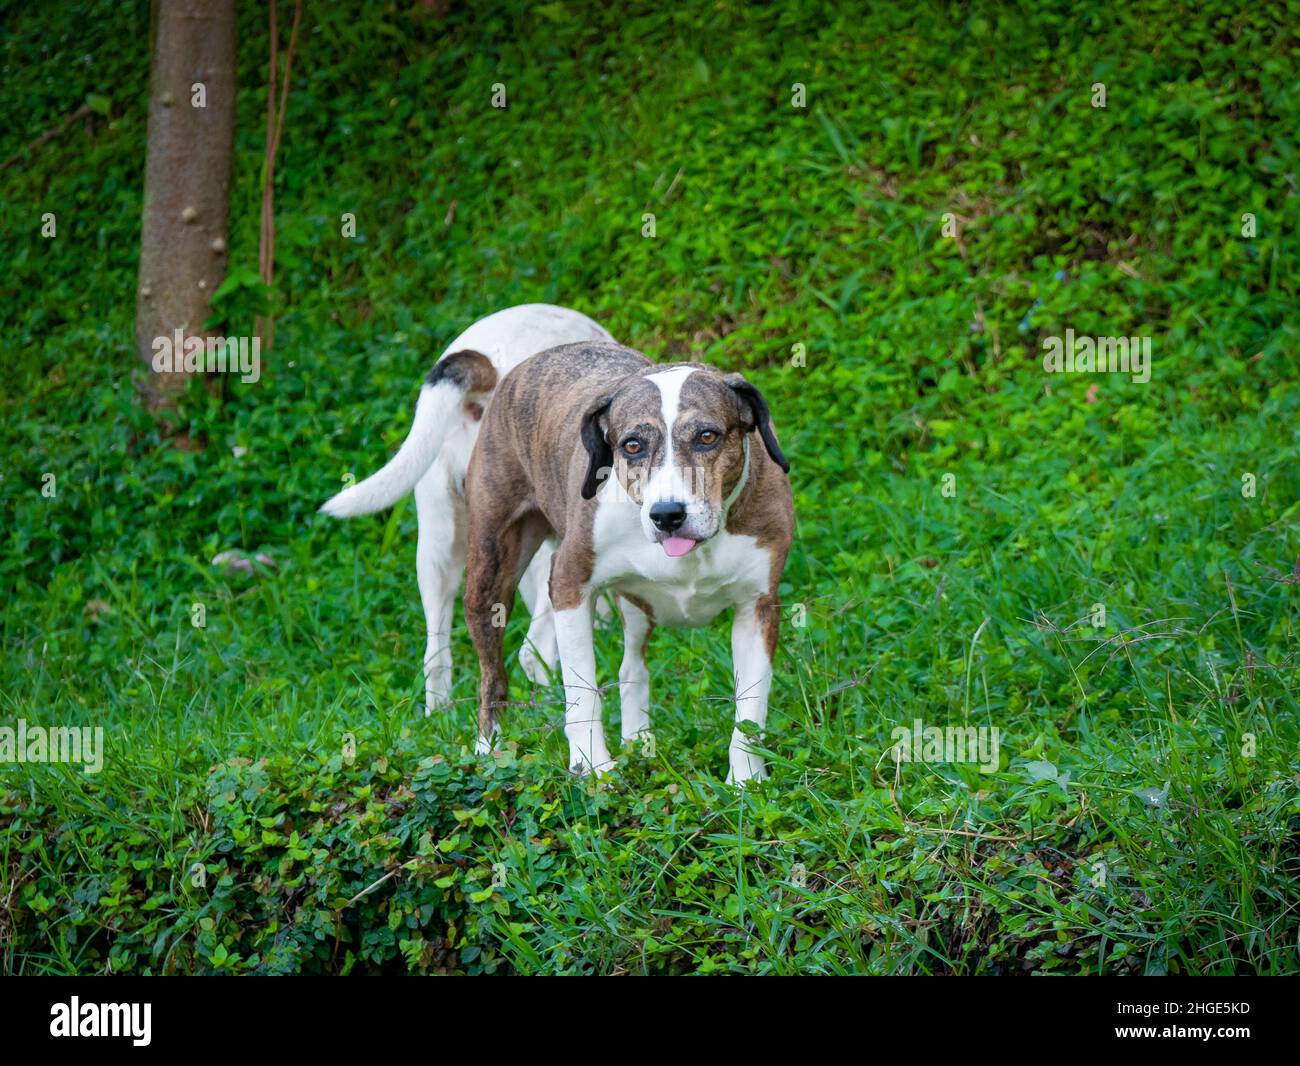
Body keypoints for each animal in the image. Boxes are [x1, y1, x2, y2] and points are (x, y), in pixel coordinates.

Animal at [325, 301, 790, 785]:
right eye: (632, 445)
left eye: (707, 436)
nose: (667, 514)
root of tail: (502, 367)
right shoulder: (568, 585)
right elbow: (582, 689)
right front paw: (592, 766)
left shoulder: (757, 608)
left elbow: (749, 710)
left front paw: (746, 781)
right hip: (469, 557)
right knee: (478, 664)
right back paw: (483, 745)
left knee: (626, 663)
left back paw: (637, 742)